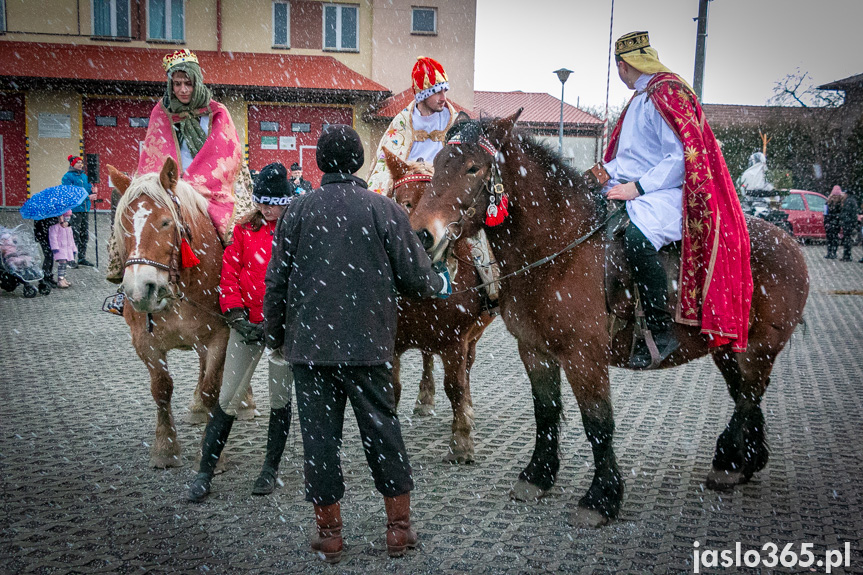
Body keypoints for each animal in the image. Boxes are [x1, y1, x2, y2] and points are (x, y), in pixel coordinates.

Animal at [109, 160, 231, 470]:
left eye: (165, 222)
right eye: (123, 225)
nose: (139, 289)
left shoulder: (220, 335)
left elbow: (213, 388)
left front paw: (212, 453)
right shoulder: (144, 340)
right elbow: (161, 389)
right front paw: (165, 448)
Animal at [386, 150, 496, 464]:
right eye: (405, 202)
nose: (423, 238)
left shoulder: (455, 340)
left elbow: (456, 387)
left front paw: (461, 442)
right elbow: (392, 389)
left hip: (473, 336)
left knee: (466, 369)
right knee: (426, 356)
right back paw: (425, 398)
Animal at [412, 111, 808, 528]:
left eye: (473, 167)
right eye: (438, 163)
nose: (423, 235)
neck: (558, 249)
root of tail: (787, 241)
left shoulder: (584, 357)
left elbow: (598, 422)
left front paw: (601, 497)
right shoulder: (534, 350)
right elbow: (546, 412)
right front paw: (537, 476)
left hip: (759, 348)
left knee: (748, 395)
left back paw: (730, 462)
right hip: (728, 348)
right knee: (746, 393)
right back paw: (743, 461)